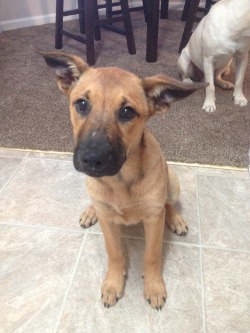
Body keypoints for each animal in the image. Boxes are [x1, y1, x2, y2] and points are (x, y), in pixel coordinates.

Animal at [40, 52, 205, 308]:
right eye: (81, 104)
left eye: (127, 112)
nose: (91, 159)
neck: (120, 180)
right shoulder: (109, 222)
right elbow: (114, 253)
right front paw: (113, 283)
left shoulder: (153, 221)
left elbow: (152, 254)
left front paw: (154, 286)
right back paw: (91, 211)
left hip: (173, 182)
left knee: (167, 204)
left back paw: (175, 219)